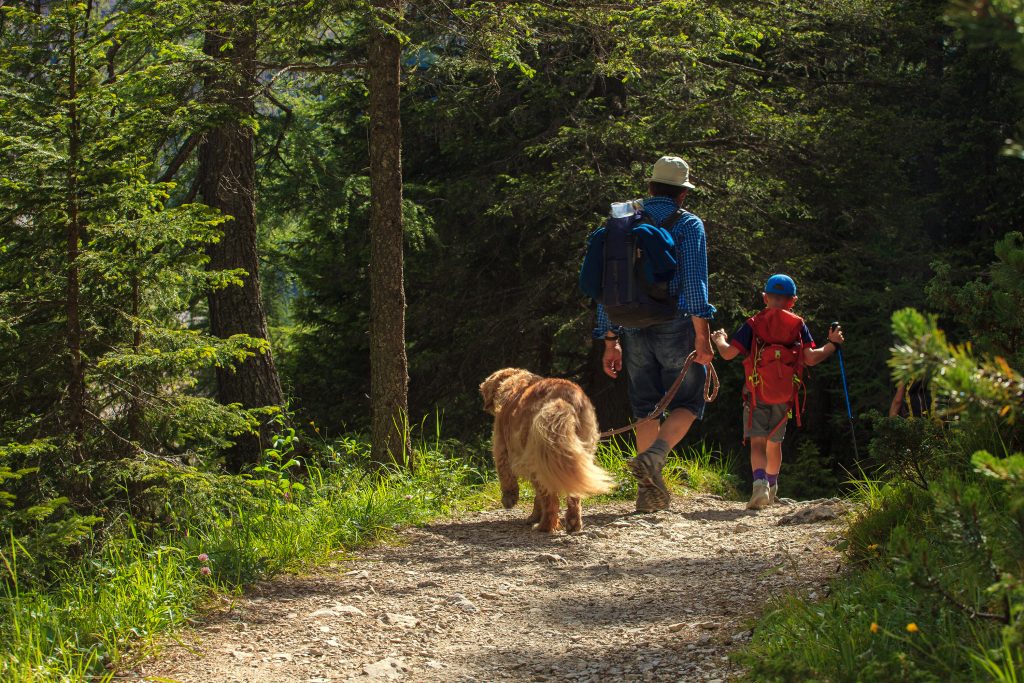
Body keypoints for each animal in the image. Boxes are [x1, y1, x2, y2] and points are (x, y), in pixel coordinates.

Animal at [481, 368, 614, 532]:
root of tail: (563, 399)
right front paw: (534, 515)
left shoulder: (501, 448)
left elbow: (506, 476)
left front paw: (509, 499)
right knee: (573, 497)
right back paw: (573, 523)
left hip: (539, 460)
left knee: (550, 500)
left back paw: (544, 526)